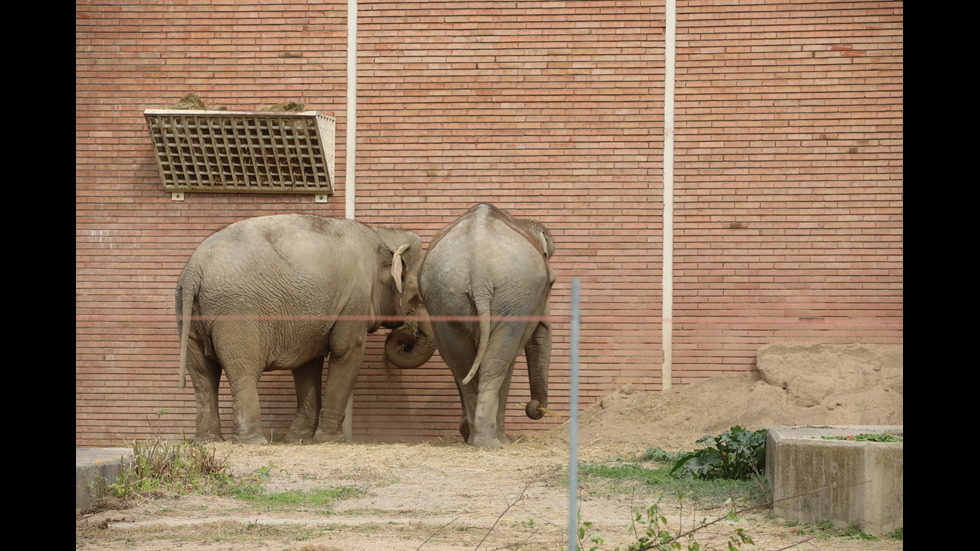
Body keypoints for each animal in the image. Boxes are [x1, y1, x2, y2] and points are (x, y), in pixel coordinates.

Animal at [176, 213, 436, 446]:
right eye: (420, 295)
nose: (406, 333)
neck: (382, 233)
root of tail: (194, 269)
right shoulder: (355, 298)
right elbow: (347, 350)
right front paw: (332, 440)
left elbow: (307, 363)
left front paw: (298, 439)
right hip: (236, 312)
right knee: (242, 372)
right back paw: (253, 442)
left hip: (188, 315)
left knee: (202, 375)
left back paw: (208, 441)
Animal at [390, 203, 560, 448]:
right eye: (552, 284)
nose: (534, 408)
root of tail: (479, 271)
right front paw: (503, 438)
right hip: (512, 297)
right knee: (498, 362)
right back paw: (491, 442)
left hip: (447, 297)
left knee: (462, 361)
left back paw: (475, 439)